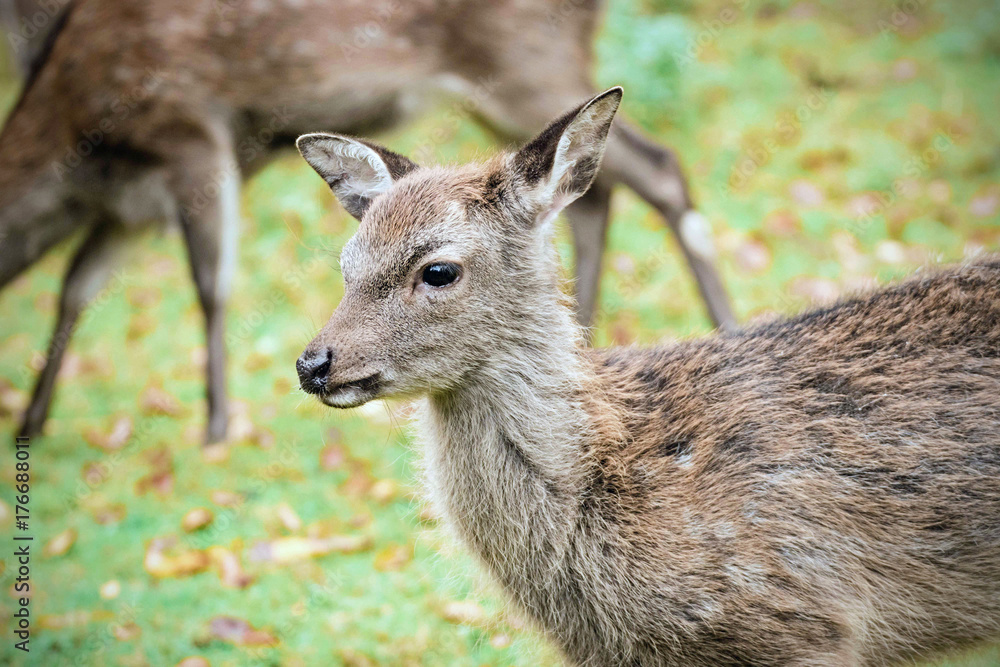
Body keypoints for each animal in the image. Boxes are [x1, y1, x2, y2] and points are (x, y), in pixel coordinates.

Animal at [0, 3, 736, 448]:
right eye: (345, 265)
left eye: (438, 271)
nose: (311, 364)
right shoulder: (127, 209)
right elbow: (76, 286)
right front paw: (30, 422)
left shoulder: (189, 133)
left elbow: (210, 284)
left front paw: (214, 426)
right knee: (593, 196)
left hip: (527, 61)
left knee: (658, 168)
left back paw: (722, 320)